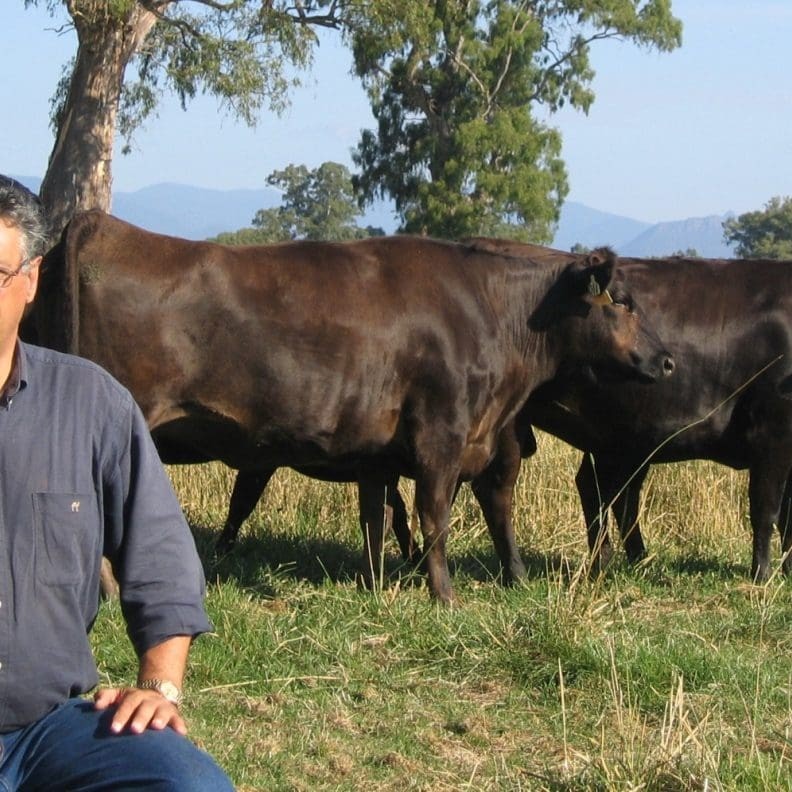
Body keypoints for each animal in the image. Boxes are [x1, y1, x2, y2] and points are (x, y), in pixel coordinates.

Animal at [31, 210, 676, 600]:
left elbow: (376, 519)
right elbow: (434, 516)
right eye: (622, 302)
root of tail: (102, 225)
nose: (668, 360)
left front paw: (375, 583)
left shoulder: (379, 453)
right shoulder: (441, 435)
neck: (489, 312)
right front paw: (444, 595)